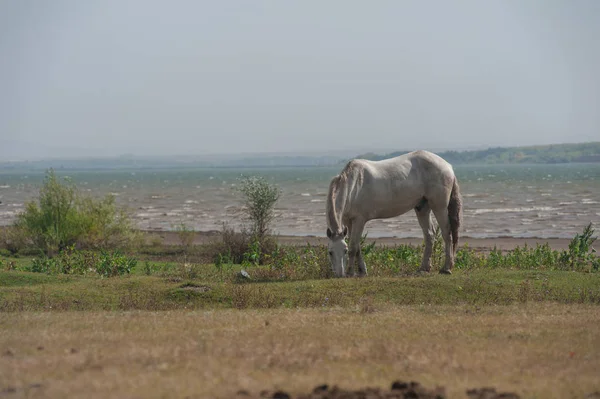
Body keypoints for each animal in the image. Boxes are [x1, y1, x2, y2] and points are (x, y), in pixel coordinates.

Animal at [326, 150, 462, 278]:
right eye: (330, 252)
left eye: (344, 251)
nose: (339, 274)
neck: (352, 186)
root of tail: (448, 166)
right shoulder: (348, 221)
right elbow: (357, 246)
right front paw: (362, 271)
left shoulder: (359, 220)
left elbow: (353, 247)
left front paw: (350, 272)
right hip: (422, 207)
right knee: (429, 235)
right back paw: (424, 268)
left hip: (439, 207)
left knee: (447, 234)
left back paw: (446, 268)